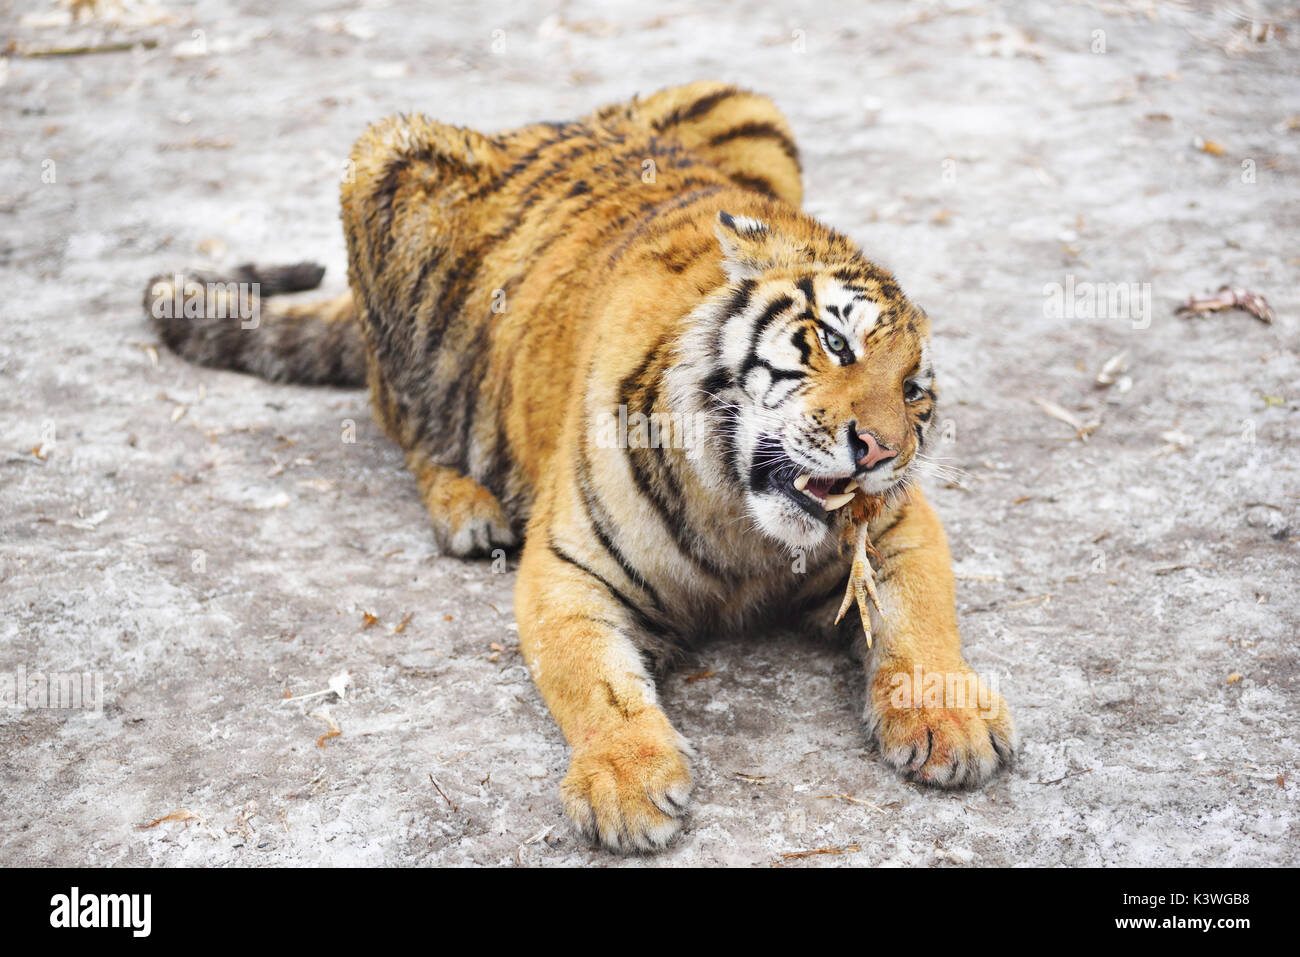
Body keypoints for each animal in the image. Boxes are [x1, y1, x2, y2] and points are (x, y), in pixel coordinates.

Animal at [144, 82, 1013, 852]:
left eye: (913, 391)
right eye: (836, 342)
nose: (881, 450)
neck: (743, 527)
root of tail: (543, 123)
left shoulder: (895, 528)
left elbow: (923, 619)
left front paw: (949, 719)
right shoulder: (567, 569)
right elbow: (592, 680)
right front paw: (627, 783)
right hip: (388, 162)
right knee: (402, 415)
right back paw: (466, 507)